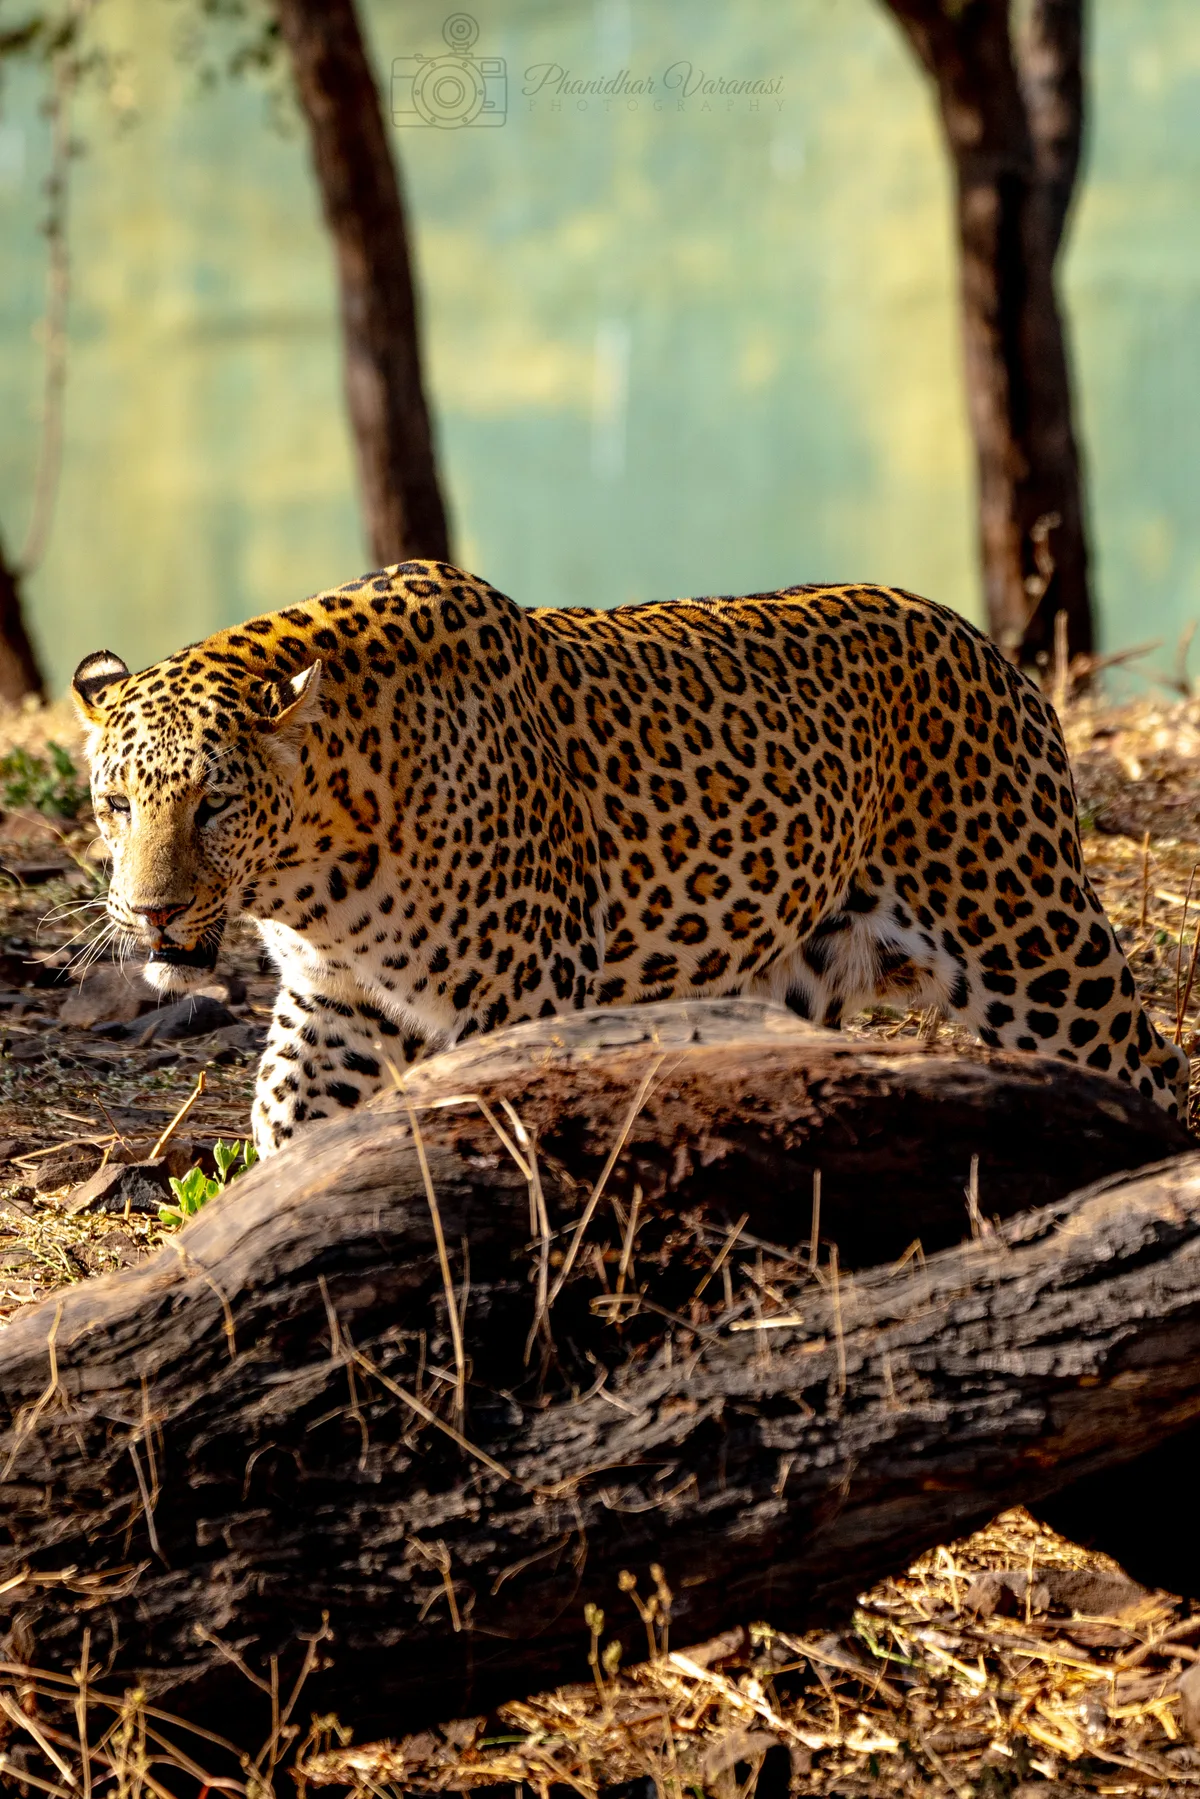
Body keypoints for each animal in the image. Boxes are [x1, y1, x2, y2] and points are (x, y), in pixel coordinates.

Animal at [70, 559, 1188, 1154]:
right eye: (116, 805)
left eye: (213, 804)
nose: (150, 913)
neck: (316, 868)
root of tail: (992, 649)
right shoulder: (334, 1000)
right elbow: (288, 1116)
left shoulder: (516, 996)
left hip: (1023, 931)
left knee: (1145, 1059)